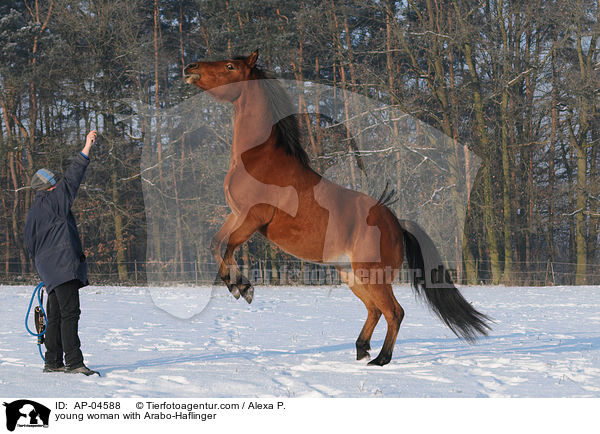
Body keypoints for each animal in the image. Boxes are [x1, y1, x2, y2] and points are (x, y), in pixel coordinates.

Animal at [185, 49, 490, 364]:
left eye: (229, 67)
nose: (190, 68)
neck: (257, 159)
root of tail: (397, 223)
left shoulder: (253, 217)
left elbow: (228, 246)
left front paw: (242, 288)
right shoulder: (236, 214)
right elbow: (216, 243)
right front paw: (237, 285)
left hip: (373, 276)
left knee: (394, 311)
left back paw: (381, 359)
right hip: (352, 275)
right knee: (375, 310)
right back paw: (361, 349)